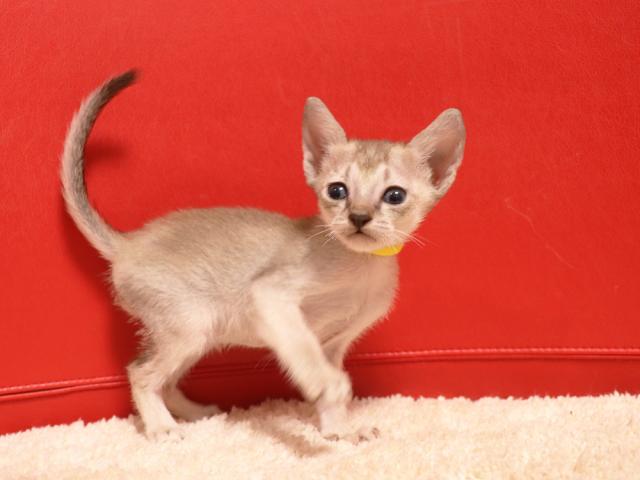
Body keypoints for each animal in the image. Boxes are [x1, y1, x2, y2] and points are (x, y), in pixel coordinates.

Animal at [60, 70, 466, 443]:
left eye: (394, 195)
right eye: (337, 190)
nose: (359, 217)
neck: (360, 267)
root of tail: (129, 243)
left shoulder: (336, 342)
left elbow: (327, 385)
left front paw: (339, 431)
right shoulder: (271, 295)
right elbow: (302, 348)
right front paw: (326, 386)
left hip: (195, 335)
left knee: (163, 378)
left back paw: (197, 414)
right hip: (188, 327)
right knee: (140, 373)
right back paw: (162, 428)